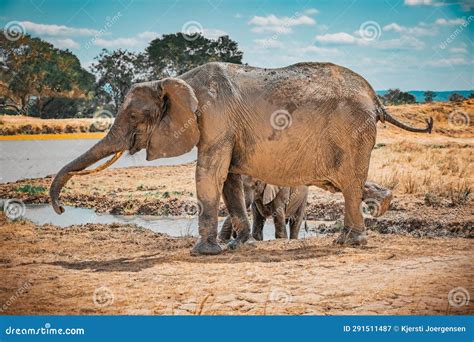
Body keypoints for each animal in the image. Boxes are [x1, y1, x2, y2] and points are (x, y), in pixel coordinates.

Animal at [49, 61, 434, 255]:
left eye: (132, 116)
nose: (60, 209)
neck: (177, 80)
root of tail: (375, 98)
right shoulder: (224, 128)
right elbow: (229, 180)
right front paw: (236, 244)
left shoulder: (216, 119)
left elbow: (209, 174)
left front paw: (204, 252)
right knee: (342, 181)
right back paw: (379, 208)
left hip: (353, 130)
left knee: (349, 182)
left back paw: (349, 242)